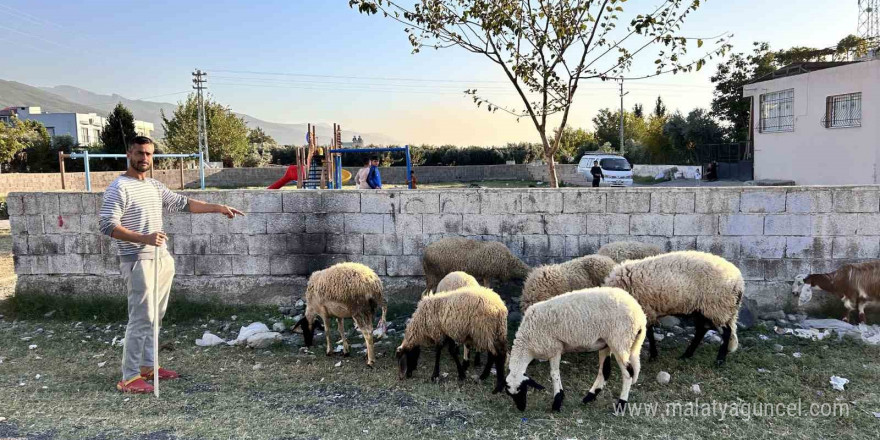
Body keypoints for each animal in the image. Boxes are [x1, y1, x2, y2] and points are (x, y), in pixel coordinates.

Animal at [502, 288, 648, 414]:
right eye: (509, 393)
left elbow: (554, 374)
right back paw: (589, 397)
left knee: (628, 374)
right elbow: (556, 374)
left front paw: (557, 402)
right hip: (606, 343)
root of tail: (640, 315)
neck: (527, 344)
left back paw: (621, 405)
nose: (521, 408)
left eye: (521, 389)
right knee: (605, 371)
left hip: (620, 341)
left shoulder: (554, 347)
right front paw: (560, 397)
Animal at [604, 249, 744, 366]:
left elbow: (648, 333)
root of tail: (739, 281)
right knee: (702, 330)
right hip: (703, 308)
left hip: (717, 306)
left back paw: (719, 360)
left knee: (726, 332)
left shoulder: (646, 310)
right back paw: (687, 355)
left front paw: (653, 355)